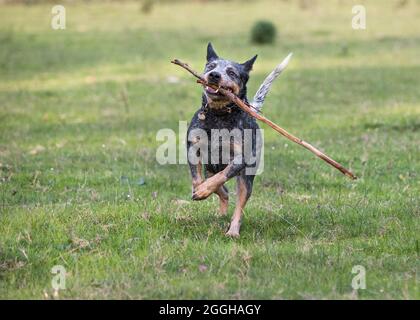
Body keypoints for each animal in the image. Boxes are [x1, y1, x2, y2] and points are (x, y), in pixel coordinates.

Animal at [186, 42, 260, 236]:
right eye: (211, 66)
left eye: (232, 72)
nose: (214, 75)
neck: (218, 115)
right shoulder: (192, 148)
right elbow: (198, 179)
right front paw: (199, 189)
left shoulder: (240, 158)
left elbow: (221, 176)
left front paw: (203, 191)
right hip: (210, 167)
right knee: (224, 192)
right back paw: (221, 214)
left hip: (246, 179)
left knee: (239, 205)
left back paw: (233, 230)